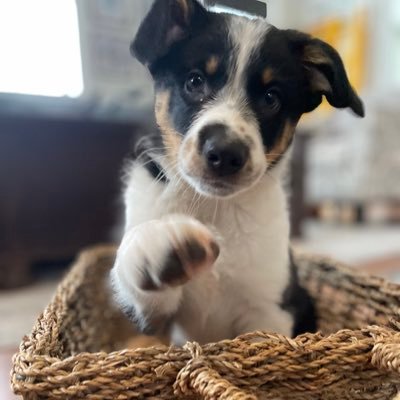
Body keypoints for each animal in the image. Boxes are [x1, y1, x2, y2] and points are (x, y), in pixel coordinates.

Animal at [111, 0, 364, 344]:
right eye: (195, 81)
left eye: (271, 98)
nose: (226, 153)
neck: (214, 208)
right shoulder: (155, 319)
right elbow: (135, 253)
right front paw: (157, 241)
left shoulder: (270, 309)